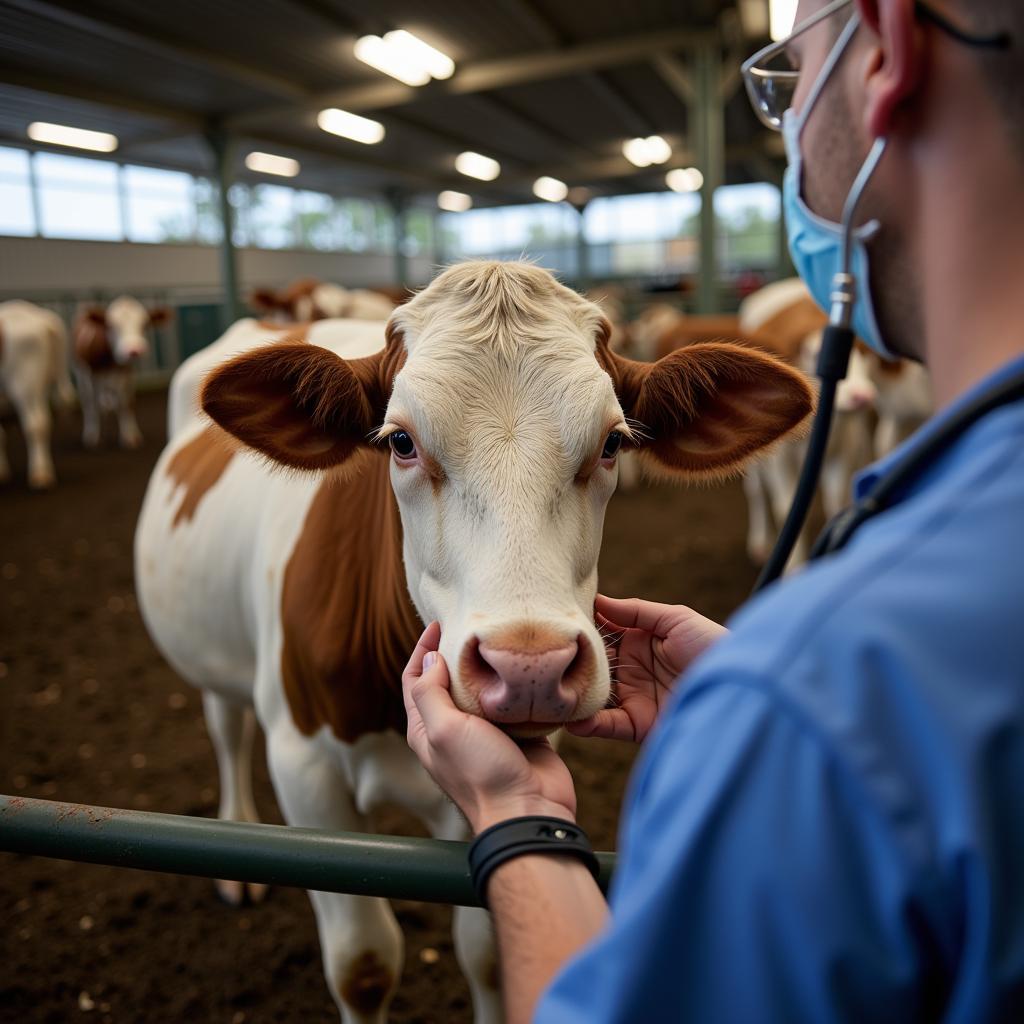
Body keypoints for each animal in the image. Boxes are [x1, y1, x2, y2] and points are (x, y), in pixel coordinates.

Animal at [74, 296, 172, 448]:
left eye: (145, 324)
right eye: (112, 325)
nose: (134, 350)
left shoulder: (127, 373)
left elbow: (126, 402)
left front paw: (130, 436)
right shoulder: (89, 375)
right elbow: (92, 403)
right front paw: (93, 437)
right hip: (81, 374)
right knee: (89, 400)